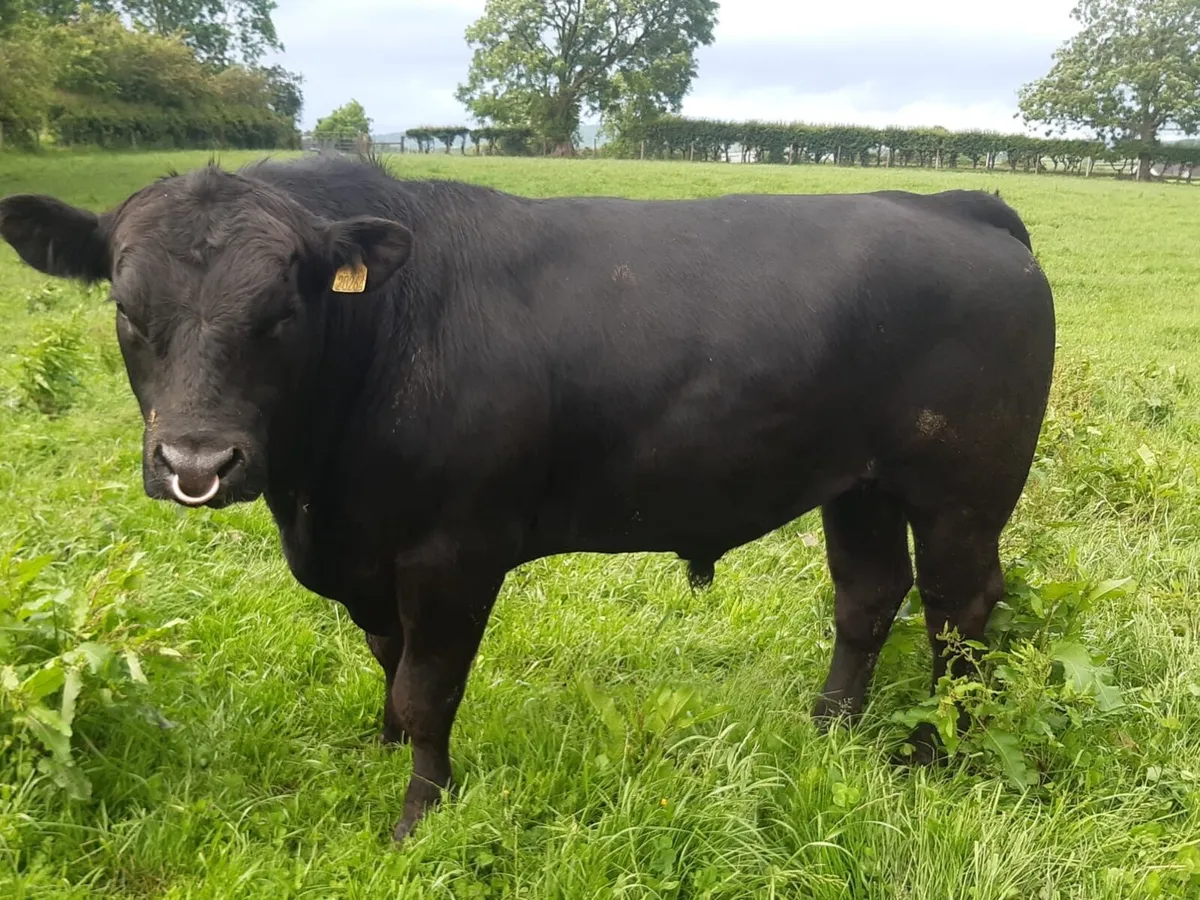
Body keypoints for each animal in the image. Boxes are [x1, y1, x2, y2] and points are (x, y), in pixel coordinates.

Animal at [0, 153, 1055, 844]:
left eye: (283, 310)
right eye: (127, 308)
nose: (198, 460)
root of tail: (956, 206)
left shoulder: (453, 552)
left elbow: (428, 688)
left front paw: (418, 813)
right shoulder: (368, 554)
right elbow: (387, 664)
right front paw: (382, 752)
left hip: (962, 493)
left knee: (961, 617)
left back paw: (939, 755)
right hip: (863, 485)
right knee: (868, 598)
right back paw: (830, 728)